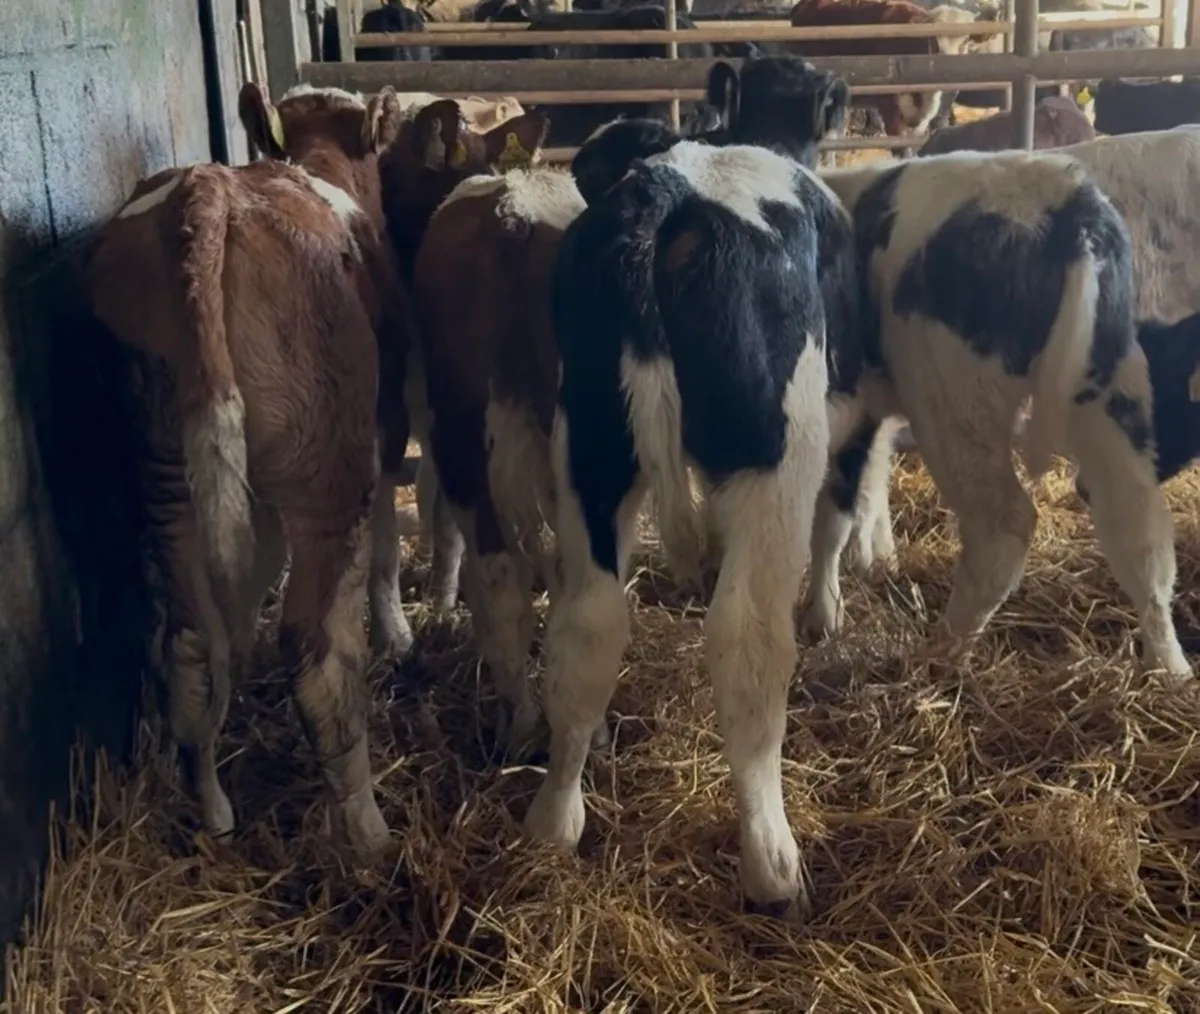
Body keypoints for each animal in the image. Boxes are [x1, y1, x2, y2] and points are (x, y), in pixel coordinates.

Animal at [82, 83, 427, 857]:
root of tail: (206, 193)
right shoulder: (386, 430)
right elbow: (387, 545)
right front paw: (396, 633)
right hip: (329, 466)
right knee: (317, 652)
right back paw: (369, 834)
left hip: (165, 467)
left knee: (188, 644)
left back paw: (212, 810)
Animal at [802, 148, 1192, 683]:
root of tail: (1068, 205)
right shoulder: (865, 411)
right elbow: (857, 496)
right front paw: (872, 563)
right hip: (1111, 386)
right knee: (1140, 529)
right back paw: (1169, 671)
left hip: (951, 399)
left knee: (1003, 525)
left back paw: (940, 652)